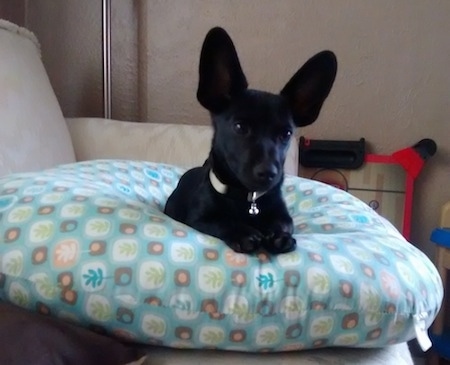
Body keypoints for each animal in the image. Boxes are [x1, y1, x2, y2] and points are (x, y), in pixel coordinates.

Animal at [163, 27, 336, 253]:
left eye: (286, 134)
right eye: (240, 127)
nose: (269, 173)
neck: (248, 201)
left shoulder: (284, 216)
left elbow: (283, 224)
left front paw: (279, 236)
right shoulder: (200, 218)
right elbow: (223, 221)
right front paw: (245, 233)